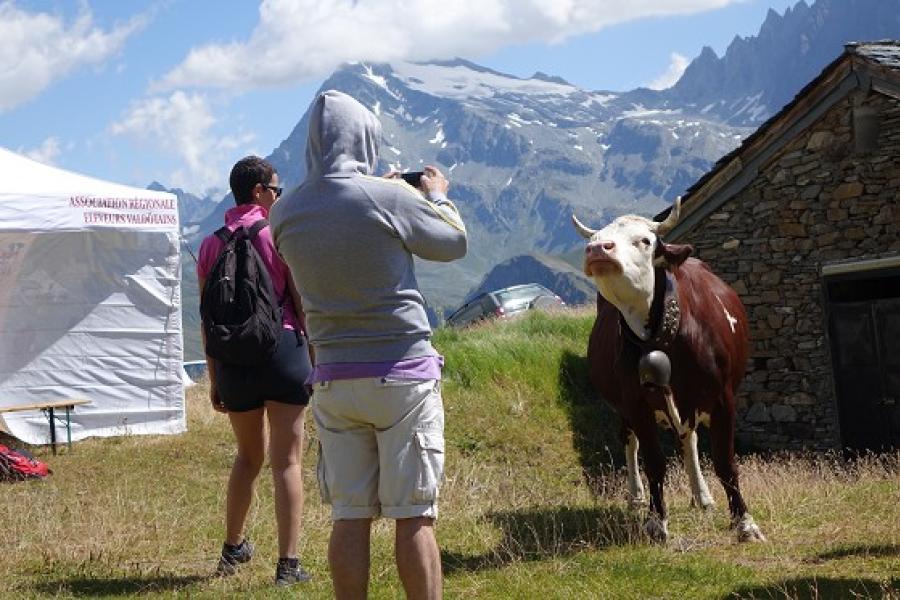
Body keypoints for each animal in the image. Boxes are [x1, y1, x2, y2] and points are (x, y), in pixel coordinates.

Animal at [572, 198, 764, 544]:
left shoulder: (723, 399)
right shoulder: (636, 403)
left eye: (645, 241)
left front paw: (745, 523)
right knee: (630, 442)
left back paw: (702, 496)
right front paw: (656, 522)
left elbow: (725, 463)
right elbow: (654, 463)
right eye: (595, 238)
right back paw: (636, 496)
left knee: (689, 440)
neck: (664, 336)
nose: (596, 249)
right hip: (625, 409)